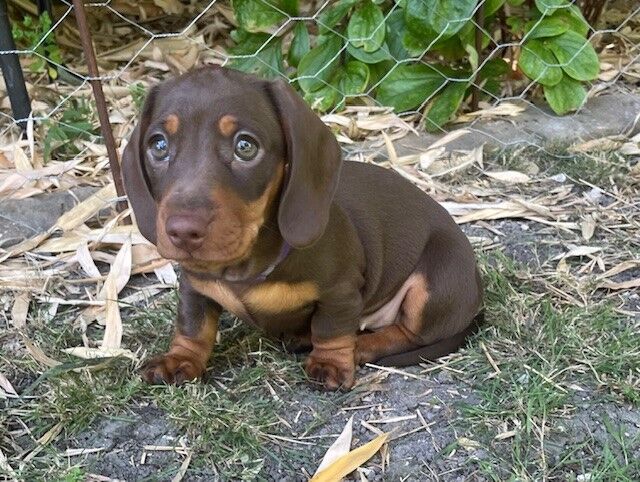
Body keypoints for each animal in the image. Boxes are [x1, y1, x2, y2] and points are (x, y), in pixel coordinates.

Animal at [121, 66, 480, 390]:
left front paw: (331, 362)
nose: (183, 232)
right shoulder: (194, 288)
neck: (245, 267)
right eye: (158, 145)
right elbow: (193, 327)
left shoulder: (341, 291)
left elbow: (331, 329)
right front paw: (179, 359)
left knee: (408, 332)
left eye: (245, 146)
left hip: (434, 282)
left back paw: (361, 346)